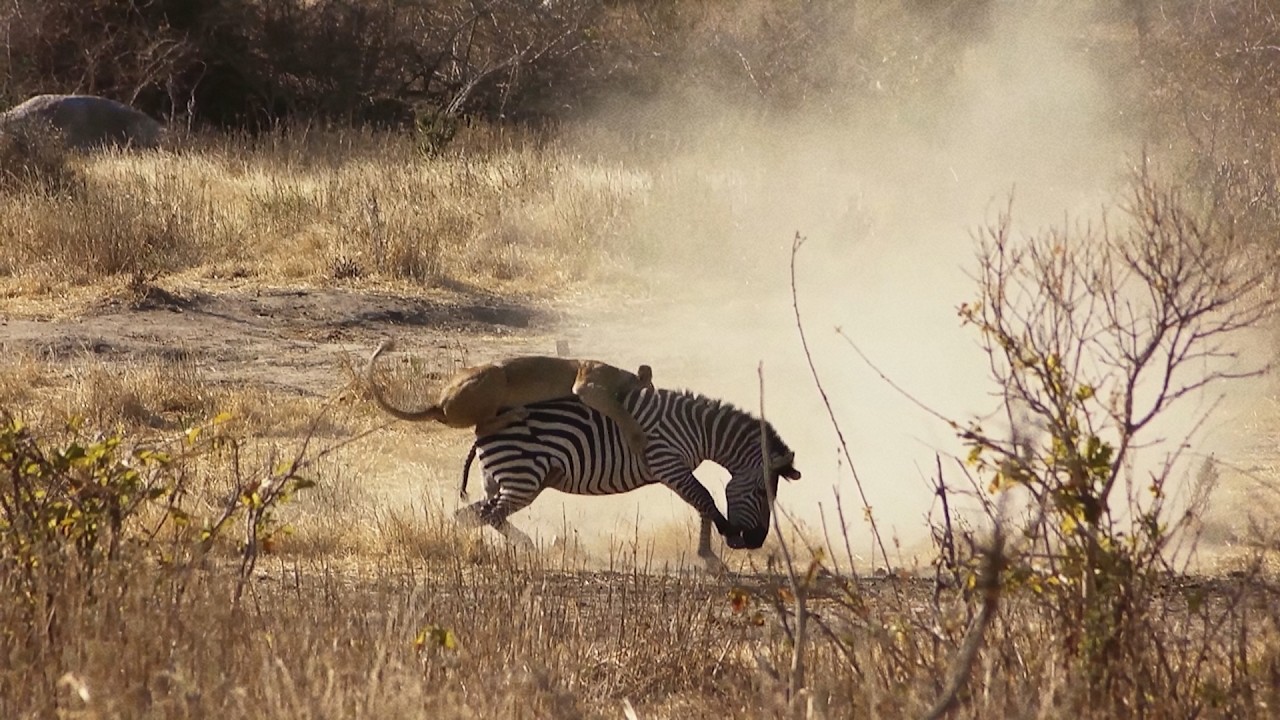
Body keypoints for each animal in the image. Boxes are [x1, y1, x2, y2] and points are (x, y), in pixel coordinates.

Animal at [366, 340, 654, 455]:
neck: (624, 376)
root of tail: (440, 403)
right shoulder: (589, 384)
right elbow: (618, 410)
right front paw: (637, 439)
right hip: (494, 376)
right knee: (481, 427)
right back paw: (517, 412)